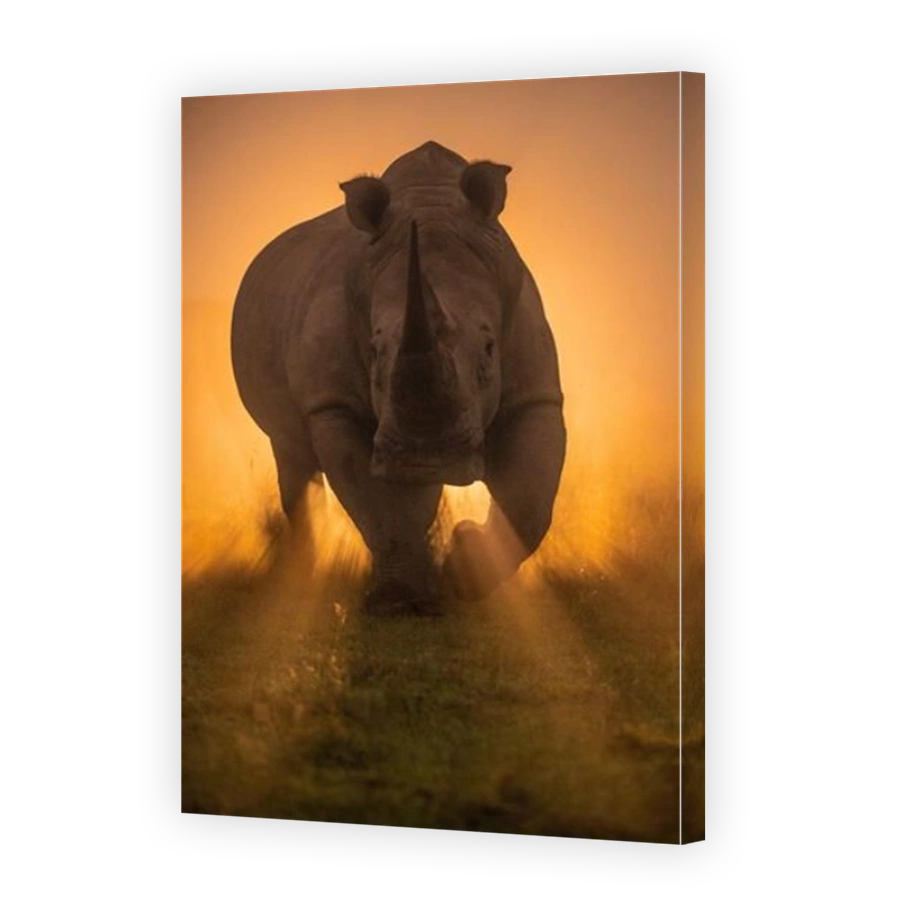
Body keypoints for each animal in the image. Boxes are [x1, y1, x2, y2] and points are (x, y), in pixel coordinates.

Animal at [232, 141, 565, 614]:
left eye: (489, 349)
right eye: (374, 351)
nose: (425, 459)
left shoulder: (535, 392)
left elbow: (531, 499)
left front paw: (464, 569)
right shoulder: (334, 404)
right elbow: (376, 503)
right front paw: (400, 601)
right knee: (291, 450)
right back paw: (303, 579)